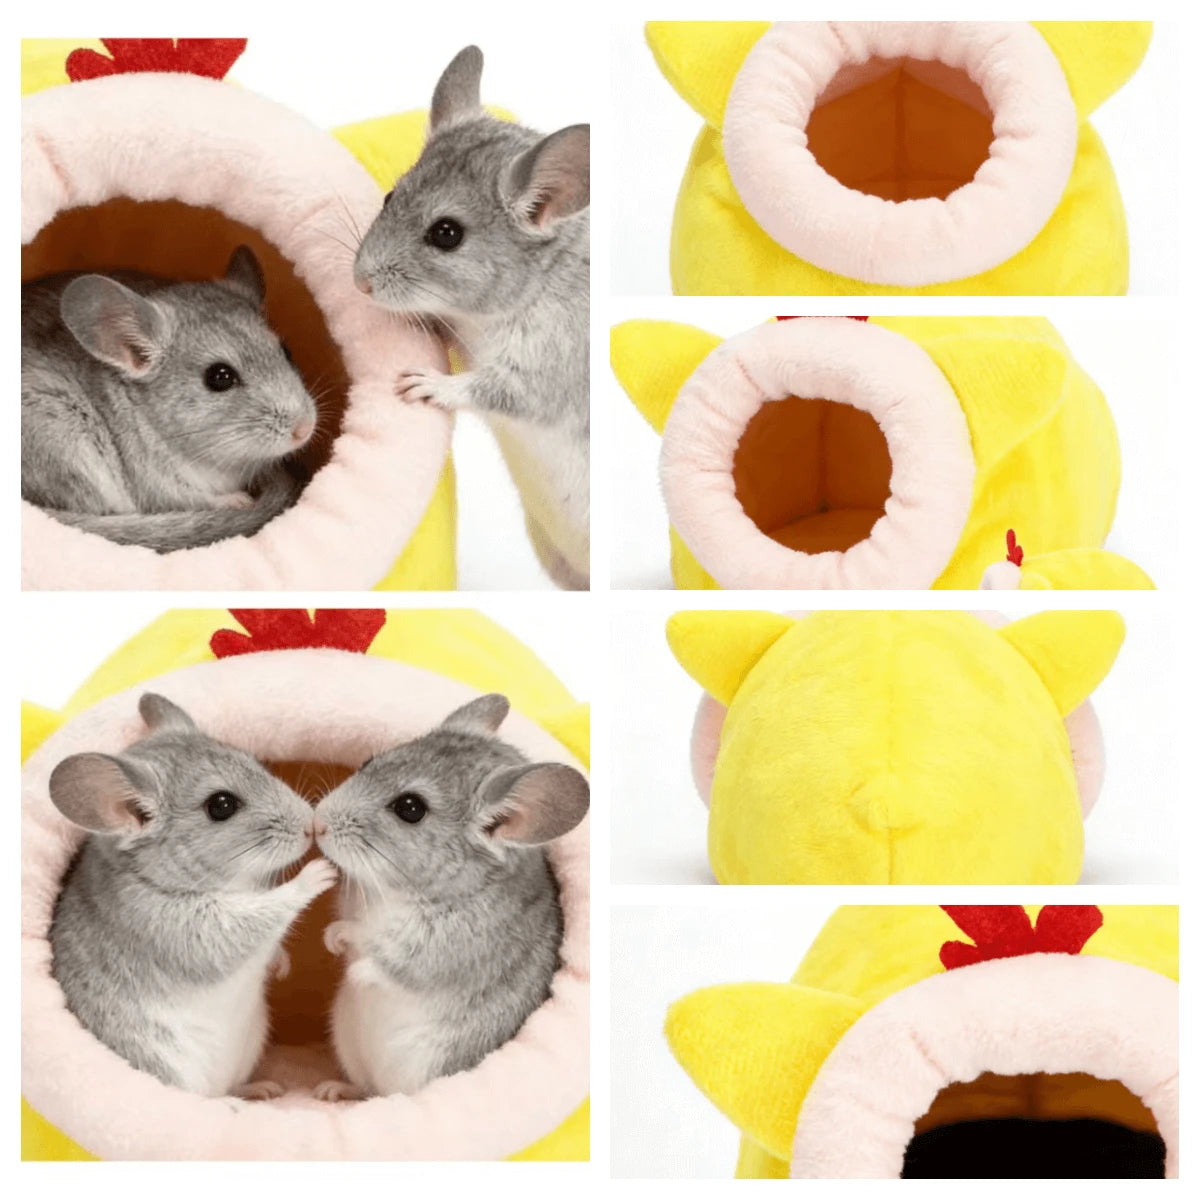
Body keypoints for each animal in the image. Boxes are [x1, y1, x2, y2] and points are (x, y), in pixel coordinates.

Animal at [22, 246, 318, 552]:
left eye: (286, 351)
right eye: (220, 377)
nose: (304, 429)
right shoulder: (155, 485)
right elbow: (195, 499)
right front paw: (241, 500)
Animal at [48, 694, 336, 1098]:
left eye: (253, 761)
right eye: (221, 805)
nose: (310, 824)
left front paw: (280, 965)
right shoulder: (185, 928)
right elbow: (263, 915)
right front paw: (318, 874)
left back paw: (259, 1090)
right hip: (163, 1062)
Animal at [310, 694, 589, 1099]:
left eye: (410, 808)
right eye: (368, 762)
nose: (318, 823)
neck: (399, 892)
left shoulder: (449, 946)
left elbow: (388, 957)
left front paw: (353, 963)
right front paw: (332, 932)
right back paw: (334, 1091)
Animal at [353, 46, 590, 590]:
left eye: (447, 234)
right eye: (391, 196)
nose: (360, 283)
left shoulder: (550, 363)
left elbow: (493, 389)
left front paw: (426, 385)